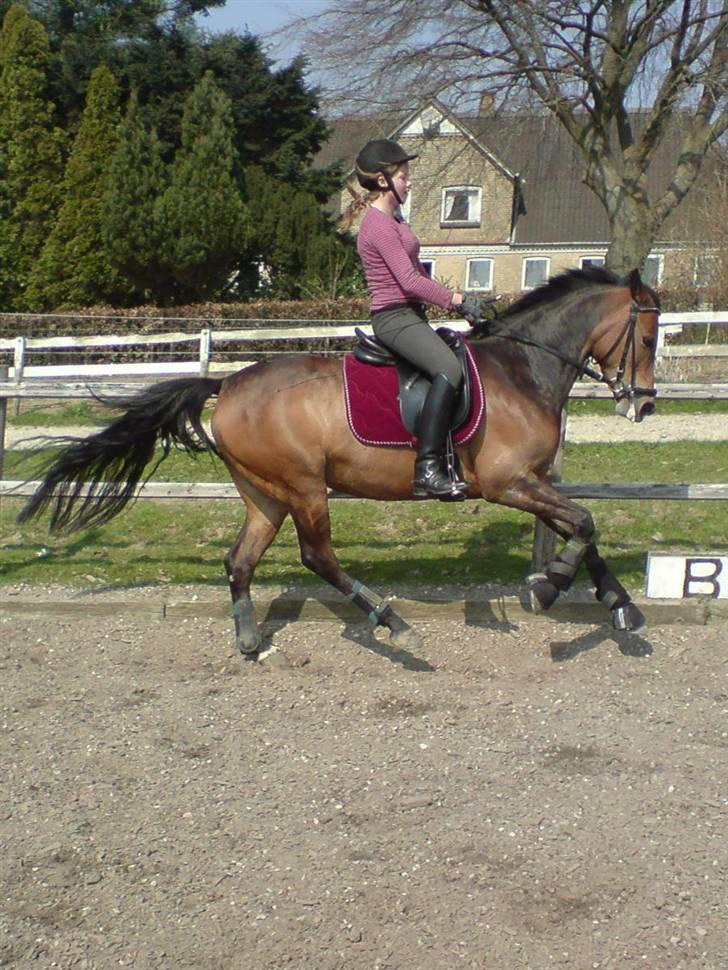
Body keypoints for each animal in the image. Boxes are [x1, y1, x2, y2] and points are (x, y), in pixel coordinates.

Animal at [18, 266, 660, 656]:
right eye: (651, 338)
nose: (645, 404)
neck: (521, 370)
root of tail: (226, 383)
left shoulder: (532, 481)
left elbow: (583, 529)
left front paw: (619, 606)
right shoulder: (510, 482)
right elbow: (584, 523)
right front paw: (549, 588)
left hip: (265, 492)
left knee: (240, 559)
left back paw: (250, 640)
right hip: (304, 487)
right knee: (316, 556)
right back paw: (388, 620)